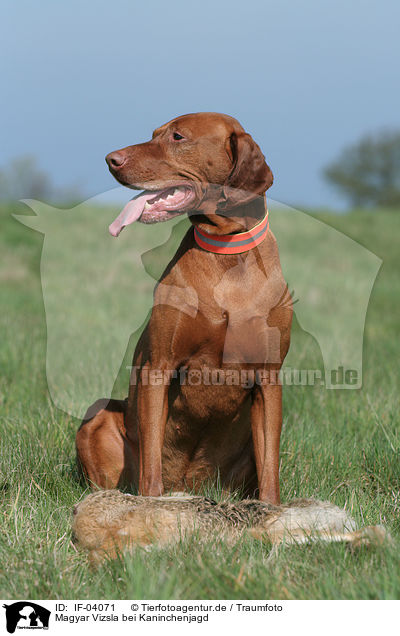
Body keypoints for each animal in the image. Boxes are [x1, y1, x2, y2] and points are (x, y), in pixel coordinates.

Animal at [76, 112, 290, 504]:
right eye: (154, 134)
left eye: (177, 137)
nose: (111, 159)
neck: (226, 256)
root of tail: (189, 485)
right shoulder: (159, 367)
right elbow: (151, 462)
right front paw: (150, 508)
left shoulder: (269, 377)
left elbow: (271, 467)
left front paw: (272, 509)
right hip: (99, 415)